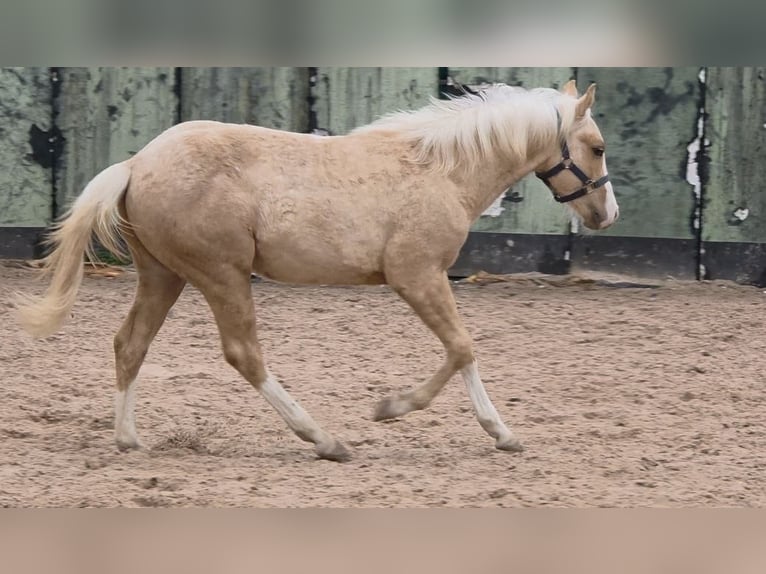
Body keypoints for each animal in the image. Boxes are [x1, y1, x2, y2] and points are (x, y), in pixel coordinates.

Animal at [16, 79, 618, 462]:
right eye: (596, 146)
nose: (607, 215)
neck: (441, 172)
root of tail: (136, 163)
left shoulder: (423, 279)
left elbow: (461, 350)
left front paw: (497, 433)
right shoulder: (417, 276)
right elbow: (462, 348)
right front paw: (401, 410)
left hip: (165, 275)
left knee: (130, 343)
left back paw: (129, 441)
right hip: (220, 274)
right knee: (243, 353)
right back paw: (325, 440)